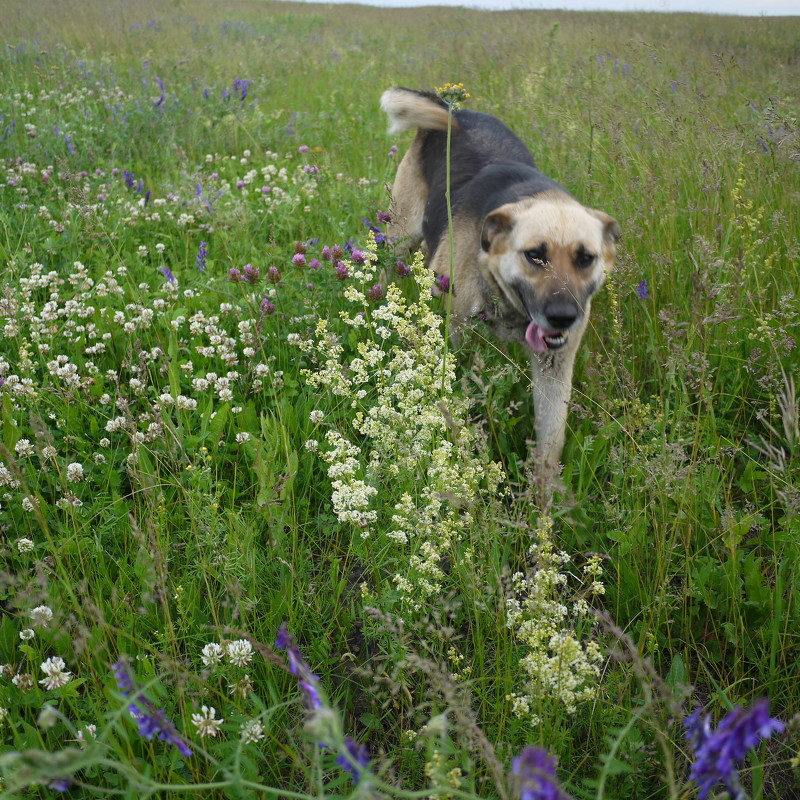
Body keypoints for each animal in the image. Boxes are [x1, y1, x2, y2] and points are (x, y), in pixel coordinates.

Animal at [378, 89, 620, 468]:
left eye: (585, 258)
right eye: (534, 255)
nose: (563, 317)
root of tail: (455, 112)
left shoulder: (555, 367)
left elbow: (551, 441)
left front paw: (544, 485)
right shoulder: (458, 335)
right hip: (400, 237)